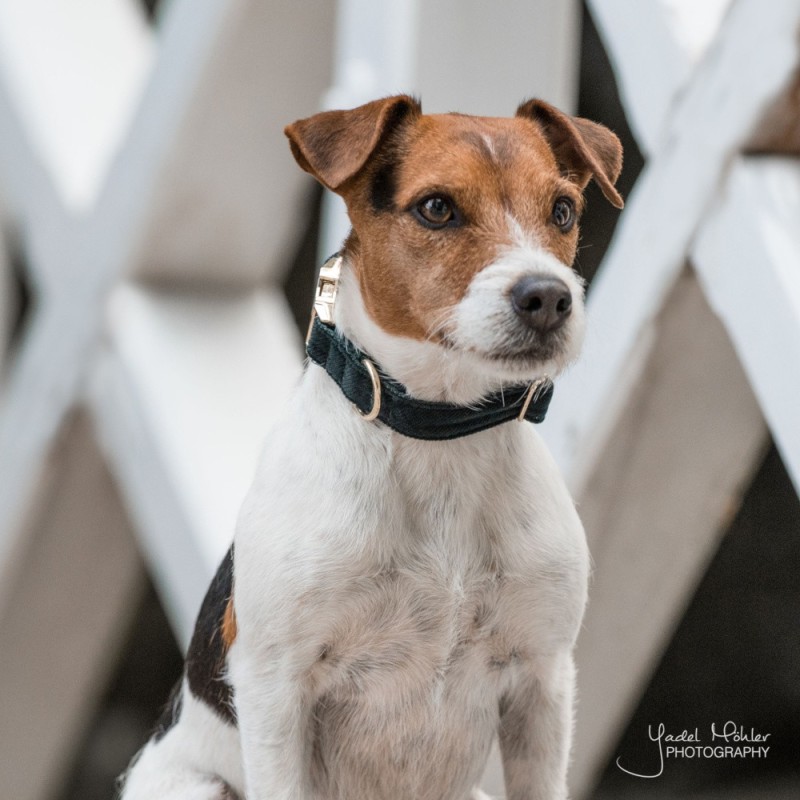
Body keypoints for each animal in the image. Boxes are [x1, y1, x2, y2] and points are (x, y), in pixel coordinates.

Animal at [120, 95, 624, 800]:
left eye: (563, 211)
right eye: (436, 208)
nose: (548, 296)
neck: (440, 434)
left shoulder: (542, 679)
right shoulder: (276, 686)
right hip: (195, 784)